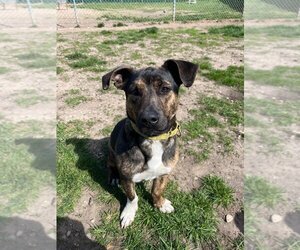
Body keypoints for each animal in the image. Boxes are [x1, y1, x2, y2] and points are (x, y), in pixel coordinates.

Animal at [102, 59, 198, 228]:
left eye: (164, 88)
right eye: (134, 91)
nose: (149, 119)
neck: (153, 140)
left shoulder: (165, 172)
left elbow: (157, 191)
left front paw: (160, 203)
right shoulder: (127, 178)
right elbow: (133, 197)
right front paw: (129, 212)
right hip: (111, 155)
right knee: (111, 166)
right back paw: (113, 177)